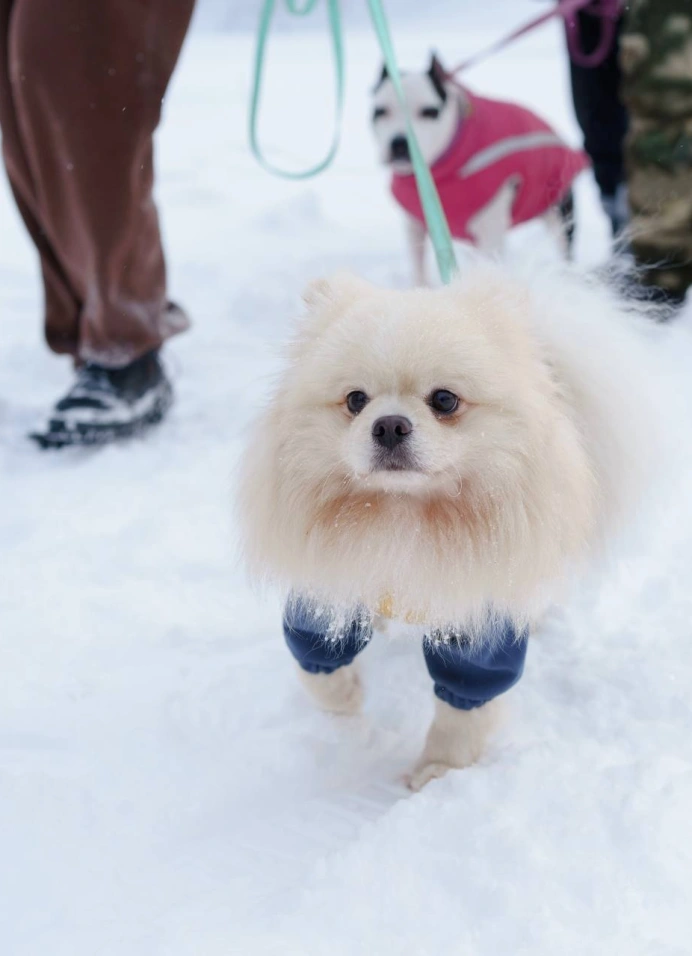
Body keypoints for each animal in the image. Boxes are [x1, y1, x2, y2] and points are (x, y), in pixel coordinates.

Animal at [241, 266, 656, 788]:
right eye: (355, 400)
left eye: (444, 400)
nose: (390, 425)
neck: (402, 515)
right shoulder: (324, 593)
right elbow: (321, 671)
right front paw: (346, 709)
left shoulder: (481, 623)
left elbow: (464, 709)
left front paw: (439, 772)